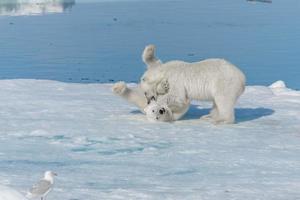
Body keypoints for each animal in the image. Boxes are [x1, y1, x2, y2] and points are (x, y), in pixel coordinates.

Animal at [112, 44, 246, 124]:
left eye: (145, 92)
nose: (149, 100)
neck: (163, 72)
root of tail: (242, 77)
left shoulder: (175, 80)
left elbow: (178, 97)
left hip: (224, 82)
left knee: (223, 100)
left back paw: (220, 120)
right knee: (217, 103)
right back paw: (209, 116)